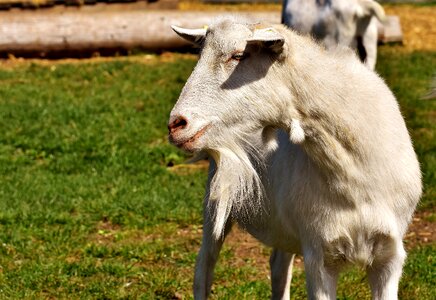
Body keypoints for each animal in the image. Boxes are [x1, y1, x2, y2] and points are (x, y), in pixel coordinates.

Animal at [168, 17, 422, 300]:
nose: (176, 124)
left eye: (239, 55)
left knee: (278, 264)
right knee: (205, 264)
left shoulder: (389, 255)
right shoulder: (319, 254)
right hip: (216, 200)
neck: (356, 180)